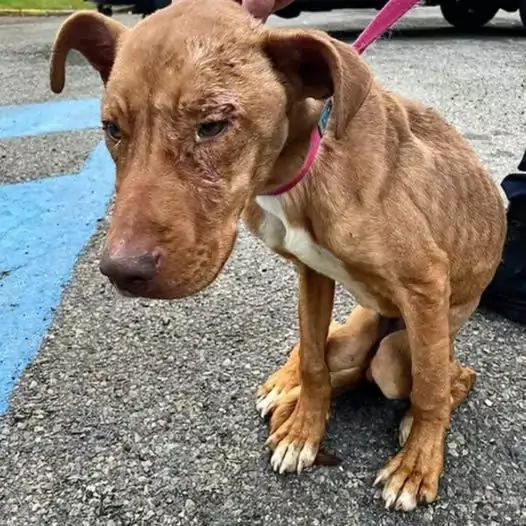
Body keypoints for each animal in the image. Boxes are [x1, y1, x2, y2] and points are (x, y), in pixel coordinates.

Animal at [48, 0, 508, 512]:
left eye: (212, 125)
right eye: (112, 129)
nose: (120, 272)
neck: (305, 167)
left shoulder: (424, 284)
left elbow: (428, 390)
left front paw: (417, 464)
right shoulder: (312, 274)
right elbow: (312, 359)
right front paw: (304, 427)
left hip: (400, 350)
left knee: (447, 374)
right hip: (357, 336)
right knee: (335, 359)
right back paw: (285, 394)